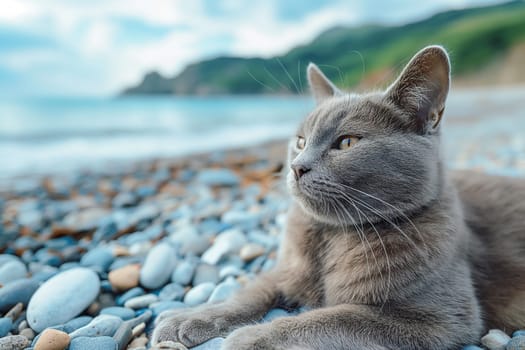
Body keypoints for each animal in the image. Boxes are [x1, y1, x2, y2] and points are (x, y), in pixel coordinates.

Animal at [151, 45, 524, 348]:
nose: (297, 166)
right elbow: (252, 291)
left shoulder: (438, 318)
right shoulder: (287, 270)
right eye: (300, 141)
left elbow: (331, 318)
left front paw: (250, 337)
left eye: (346, 143)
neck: (329, 236)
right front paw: (189, 317)